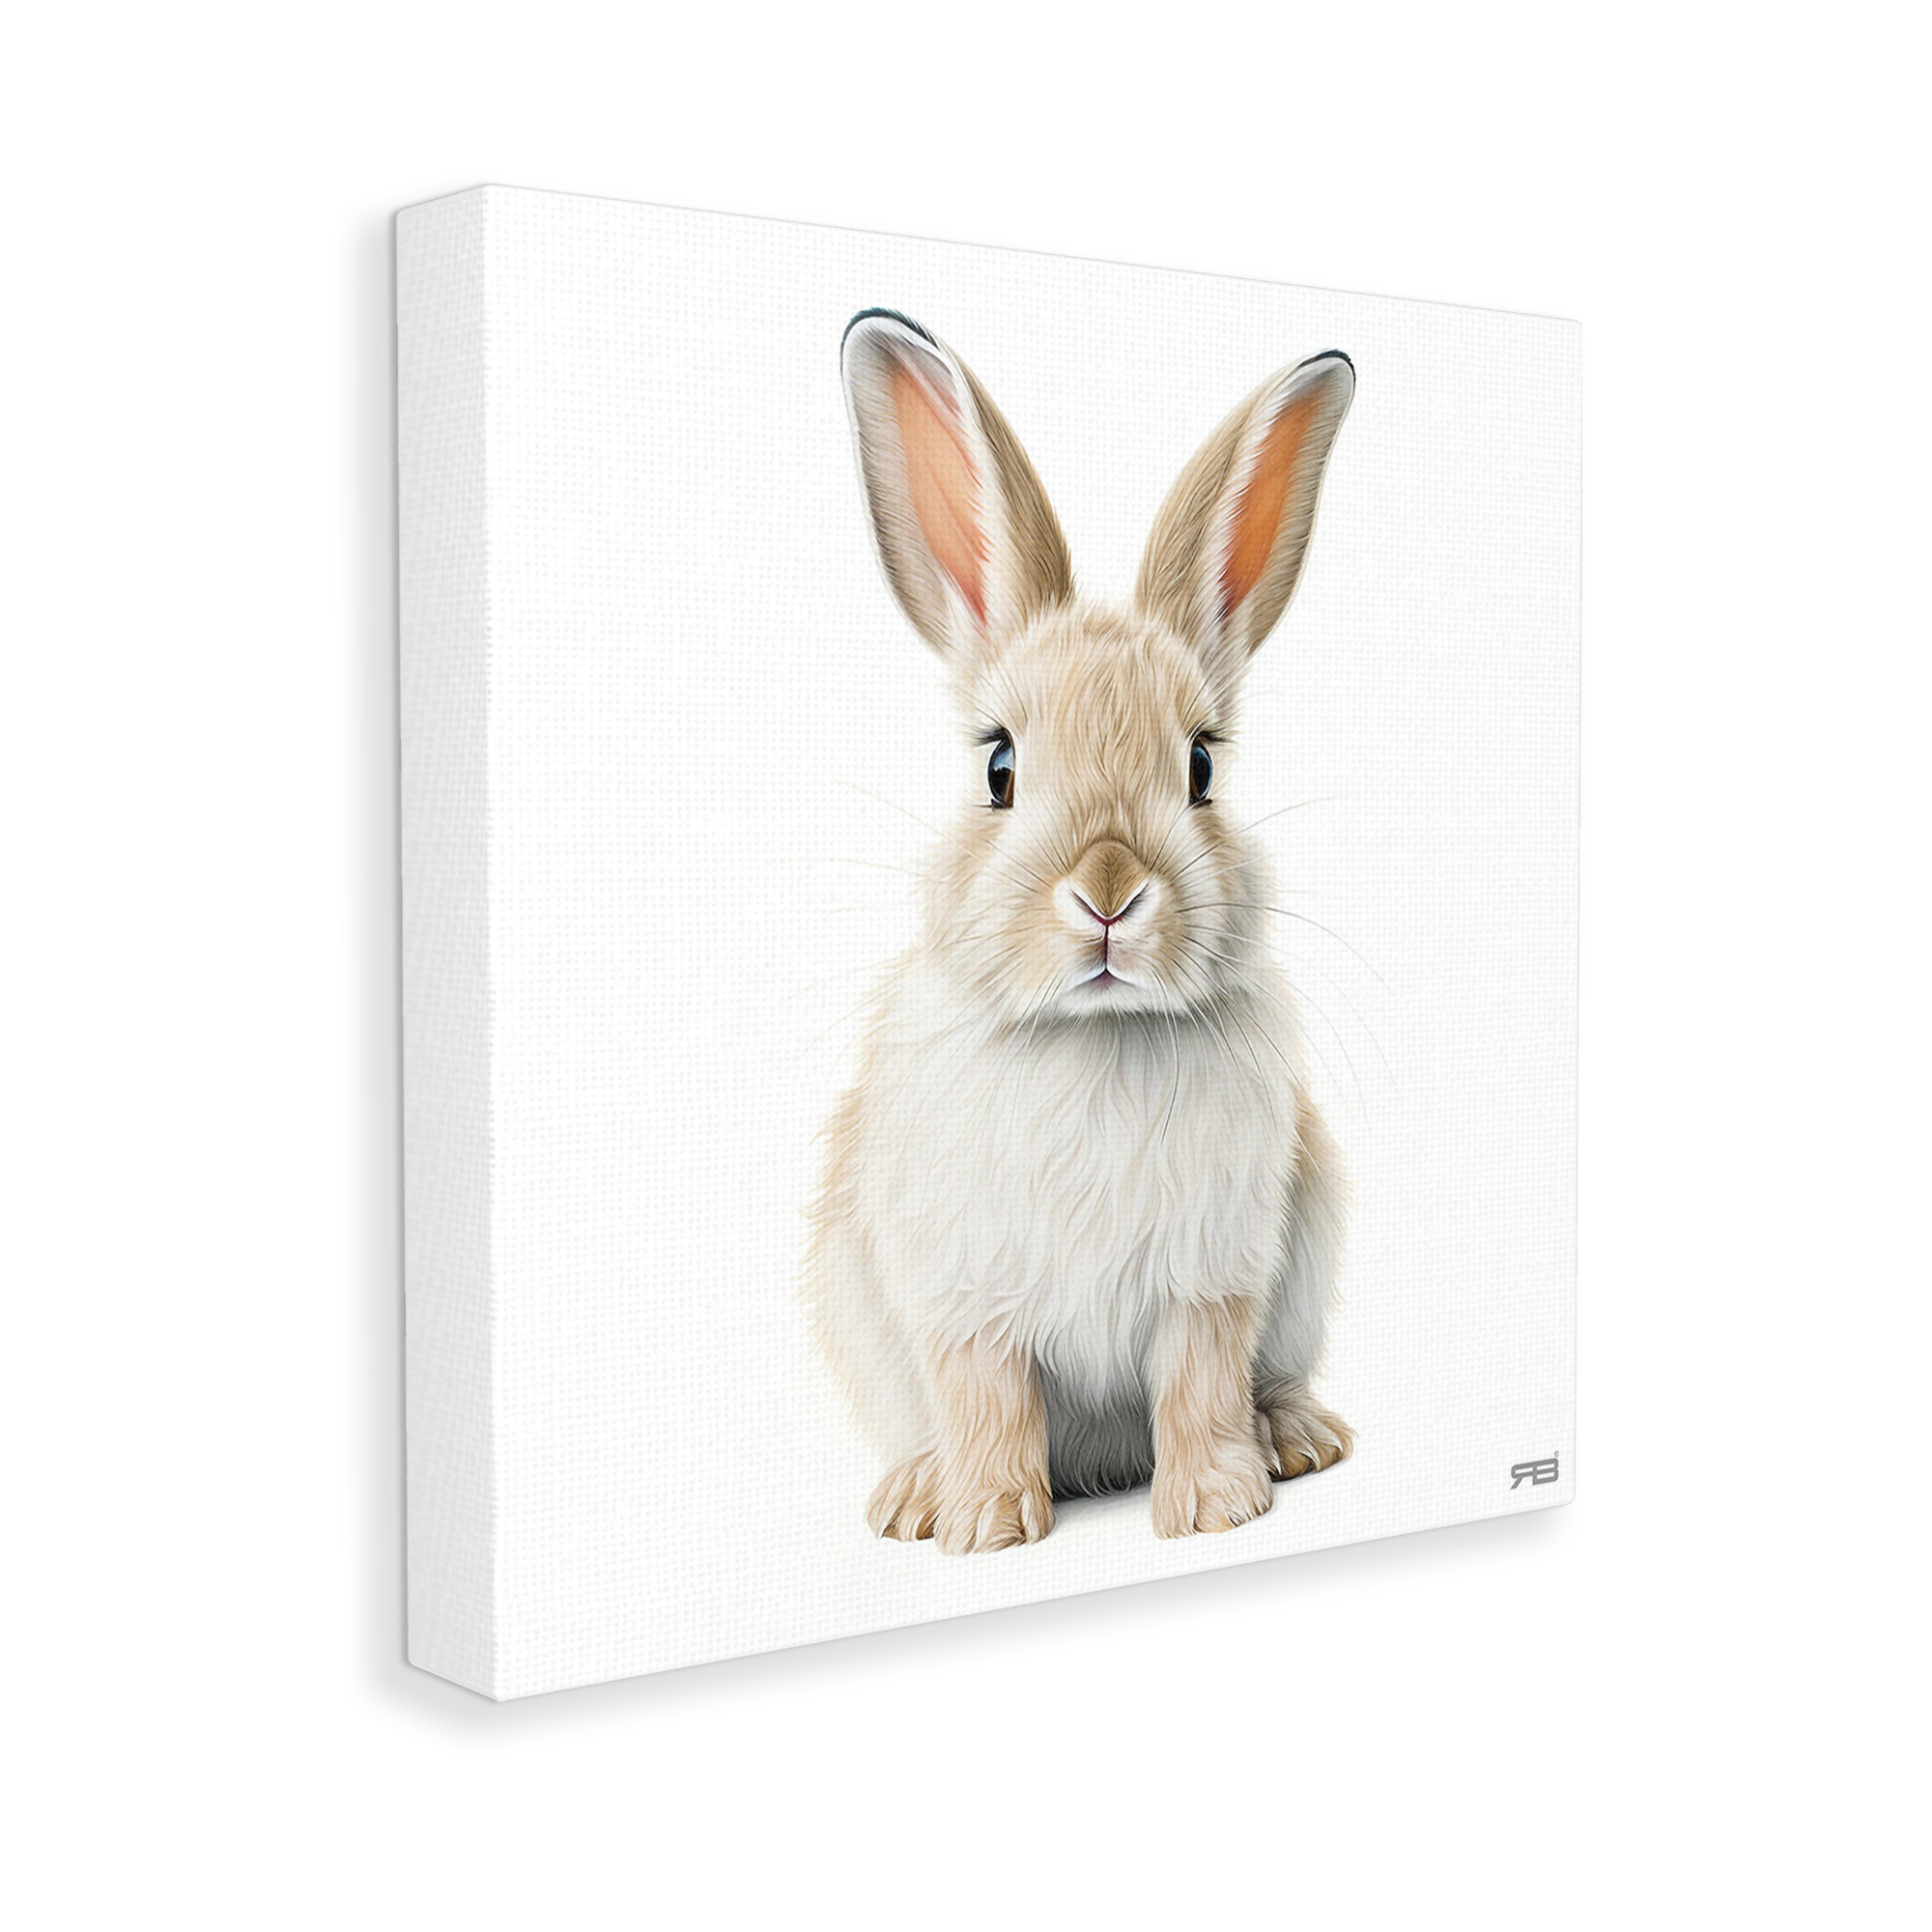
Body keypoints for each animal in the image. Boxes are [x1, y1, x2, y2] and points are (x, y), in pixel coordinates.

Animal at [805, 309, 1357, 1552]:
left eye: (1199, 766)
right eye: (999, 767)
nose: (1107, 889)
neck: (1092, 1034)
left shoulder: (1213, 1275)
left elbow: (1199, 1380)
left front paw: (1212, 1508)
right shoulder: (962, 1294)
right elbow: (985, 1393)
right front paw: (985, 1525)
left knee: (1264, 1379)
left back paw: (1298, 1439)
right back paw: (916, 1495)